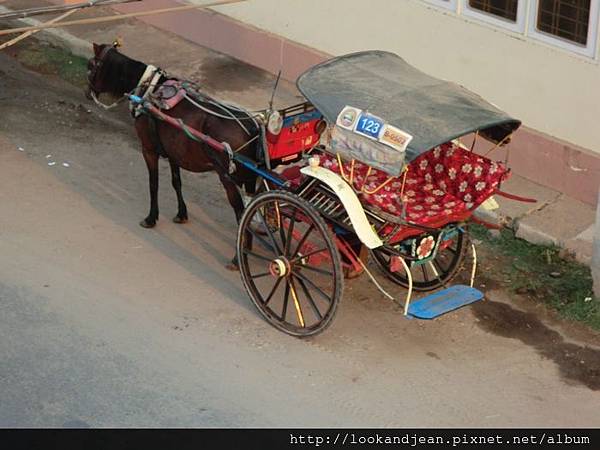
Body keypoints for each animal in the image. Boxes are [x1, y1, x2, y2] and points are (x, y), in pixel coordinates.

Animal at [86, 42, 260, 268]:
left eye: (91, 66)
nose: (87, 92)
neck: (148, 89)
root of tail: (252, 126)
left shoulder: (148, 149)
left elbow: (154, 183)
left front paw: (151, 218)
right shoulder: (174, 152)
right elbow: (176, 181)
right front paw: (181, 214)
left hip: (228, 177)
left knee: (241, 213)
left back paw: (237, 258)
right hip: (250, 178)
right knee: (251, 209)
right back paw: (246, 247)